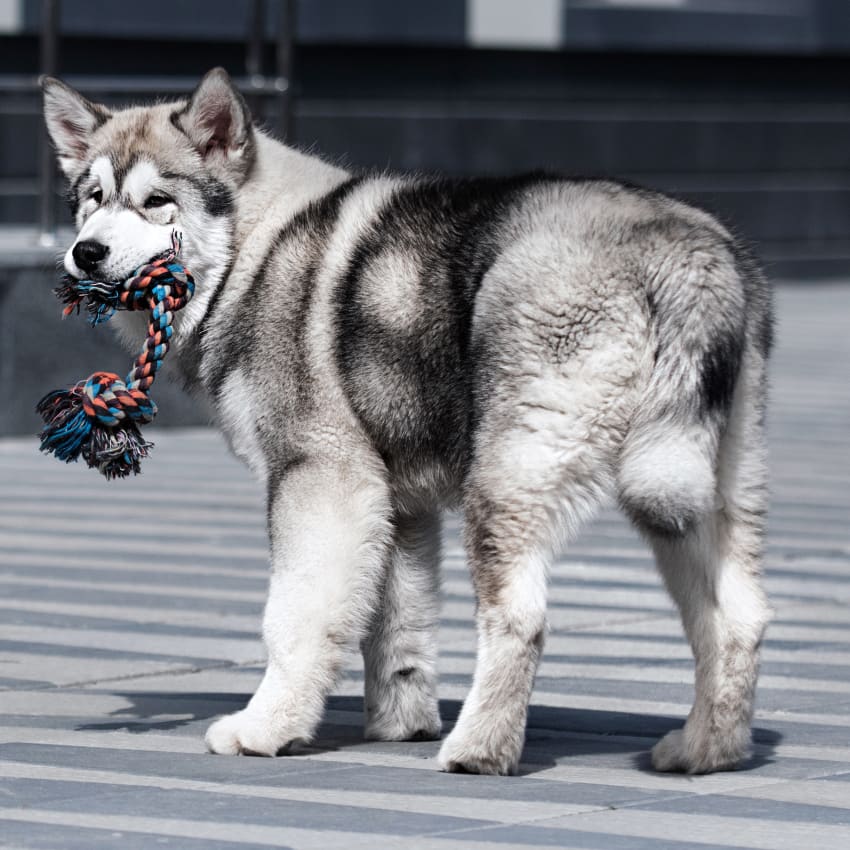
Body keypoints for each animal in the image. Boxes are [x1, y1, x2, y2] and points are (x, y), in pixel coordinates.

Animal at [43, 69, 772, 772]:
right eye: (92, 197)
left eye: (156, 201)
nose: (85, 253)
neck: (257, 246)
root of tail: (686, 254)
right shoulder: (395, 502)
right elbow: (398, 622)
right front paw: (400, 722)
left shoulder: (322, 477)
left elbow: (295, 618)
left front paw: (267, 726)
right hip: (701, 488)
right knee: (737, 619)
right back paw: (706, 751)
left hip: (511, 480)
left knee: (522, 618)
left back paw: (478, 751)